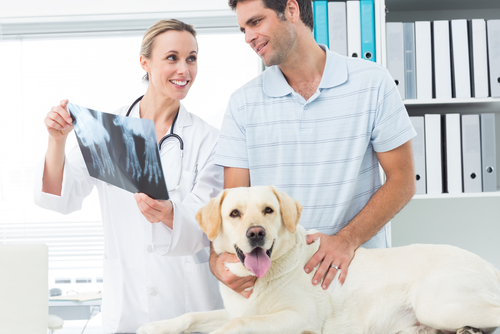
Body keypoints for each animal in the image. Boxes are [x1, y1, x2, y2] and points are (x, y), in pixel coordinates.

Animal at [139, 187, 500, 332]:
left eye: (268, 210)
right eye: (234, 214)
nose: (256, 233)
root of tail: (489, 266)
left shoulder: (298, 318)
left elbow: (237, 324)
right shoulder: (236, 308)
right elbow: (193, 316)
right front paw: (155, 326)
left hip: (437, 303)